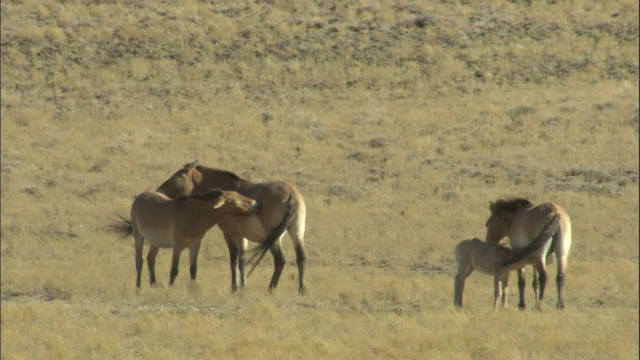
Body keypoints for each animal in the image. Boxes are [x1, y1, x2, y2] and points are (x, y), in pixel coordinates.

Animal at [110, 188, 260, 290]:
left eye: (238, 193)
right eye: (234, 202)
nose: (255, 204)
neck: (191, 216)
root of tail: (139, 197)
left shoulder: (195, 245)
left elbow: (193, 269)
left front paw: (193, 289)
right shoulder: (178, 246)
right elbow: (174, 270)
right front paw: (170, 289)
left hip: (155, 242)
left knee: (150, 259)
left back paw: (154, 284)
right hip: (138, 237)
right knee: (139, 260)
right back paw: (138, 287)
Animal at [154, 161, 306, 296]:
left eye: (175, 177)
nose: (158, 191)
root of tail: (291, 194)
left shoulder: (229, 233)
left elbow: (233, 260)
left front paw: (234, 288)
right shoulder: (241, 236)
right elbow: (242, 260)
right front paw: (243, 287)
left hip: (274, 238)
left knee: (280, 260)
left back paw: (271, 289)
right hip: (297, 234)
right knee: (301, 258)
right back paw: (301, 290)